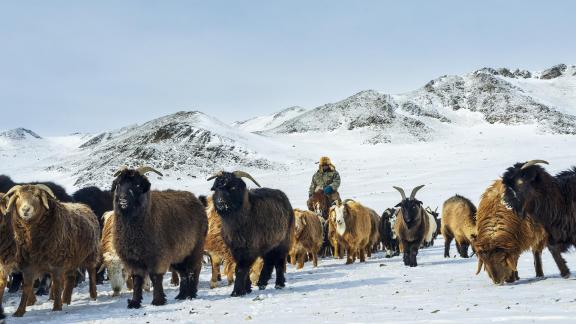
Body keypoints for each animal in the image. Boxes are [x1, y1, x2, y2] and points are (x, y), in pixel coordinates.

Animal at [2, 185, 99, 316]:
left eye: (37, 196)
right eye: (18, 196)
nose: (26, 209)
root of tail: (84, 206)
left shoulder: (57, 263)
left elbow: (57, 284)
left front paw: (56, 307)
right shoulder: (28, 265)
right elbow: (27, 287)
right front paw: (19, 311)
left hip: (90, 254)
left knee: (92, 273)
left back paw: (93, 295)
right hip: (71, 258)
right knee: (71, 277)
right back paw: (66, 300)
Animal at [110, 166, 207, 308]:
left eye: (137, 185)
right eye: (118, 184)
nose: (123, 199)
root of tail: (197, 200)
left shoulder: (158, 257)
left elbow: (156, 278)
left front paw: (158, 300)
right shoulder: (132, 260)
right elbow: (137, 280)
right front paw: (134, 302)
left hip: (195, 249)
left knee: (194, 270)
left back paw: (192, 294)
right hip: (179, 255)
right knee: (183, 273)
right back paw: (182, 295)